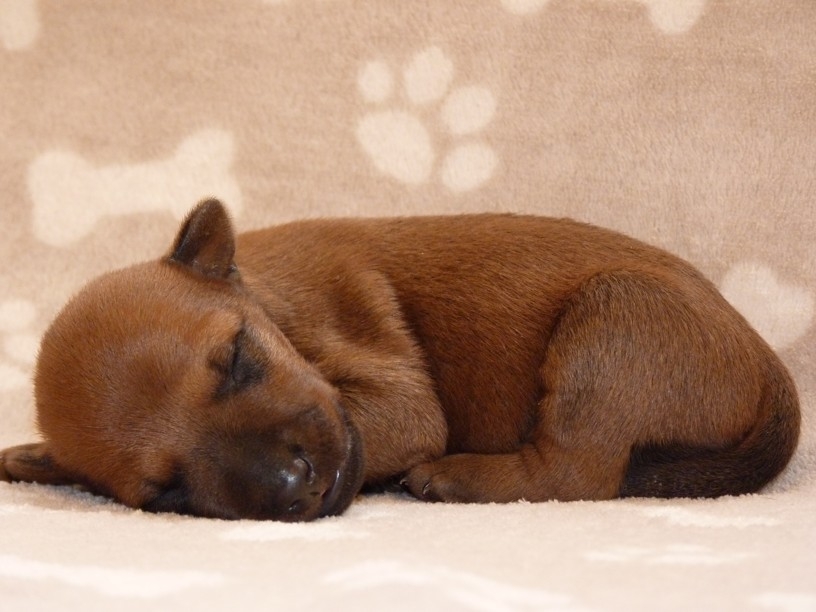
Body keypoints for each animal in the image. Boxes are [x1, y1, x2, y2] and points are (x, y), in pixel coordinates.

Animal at [0, 199, 800, 521]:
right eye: (165, 494)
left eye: (235, 359)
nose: (293, 483)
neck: (273, 295)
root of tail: (768, 363)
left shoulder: (396, 392)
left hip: (612, 318)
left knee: (576, 472)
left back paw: (456, 478)